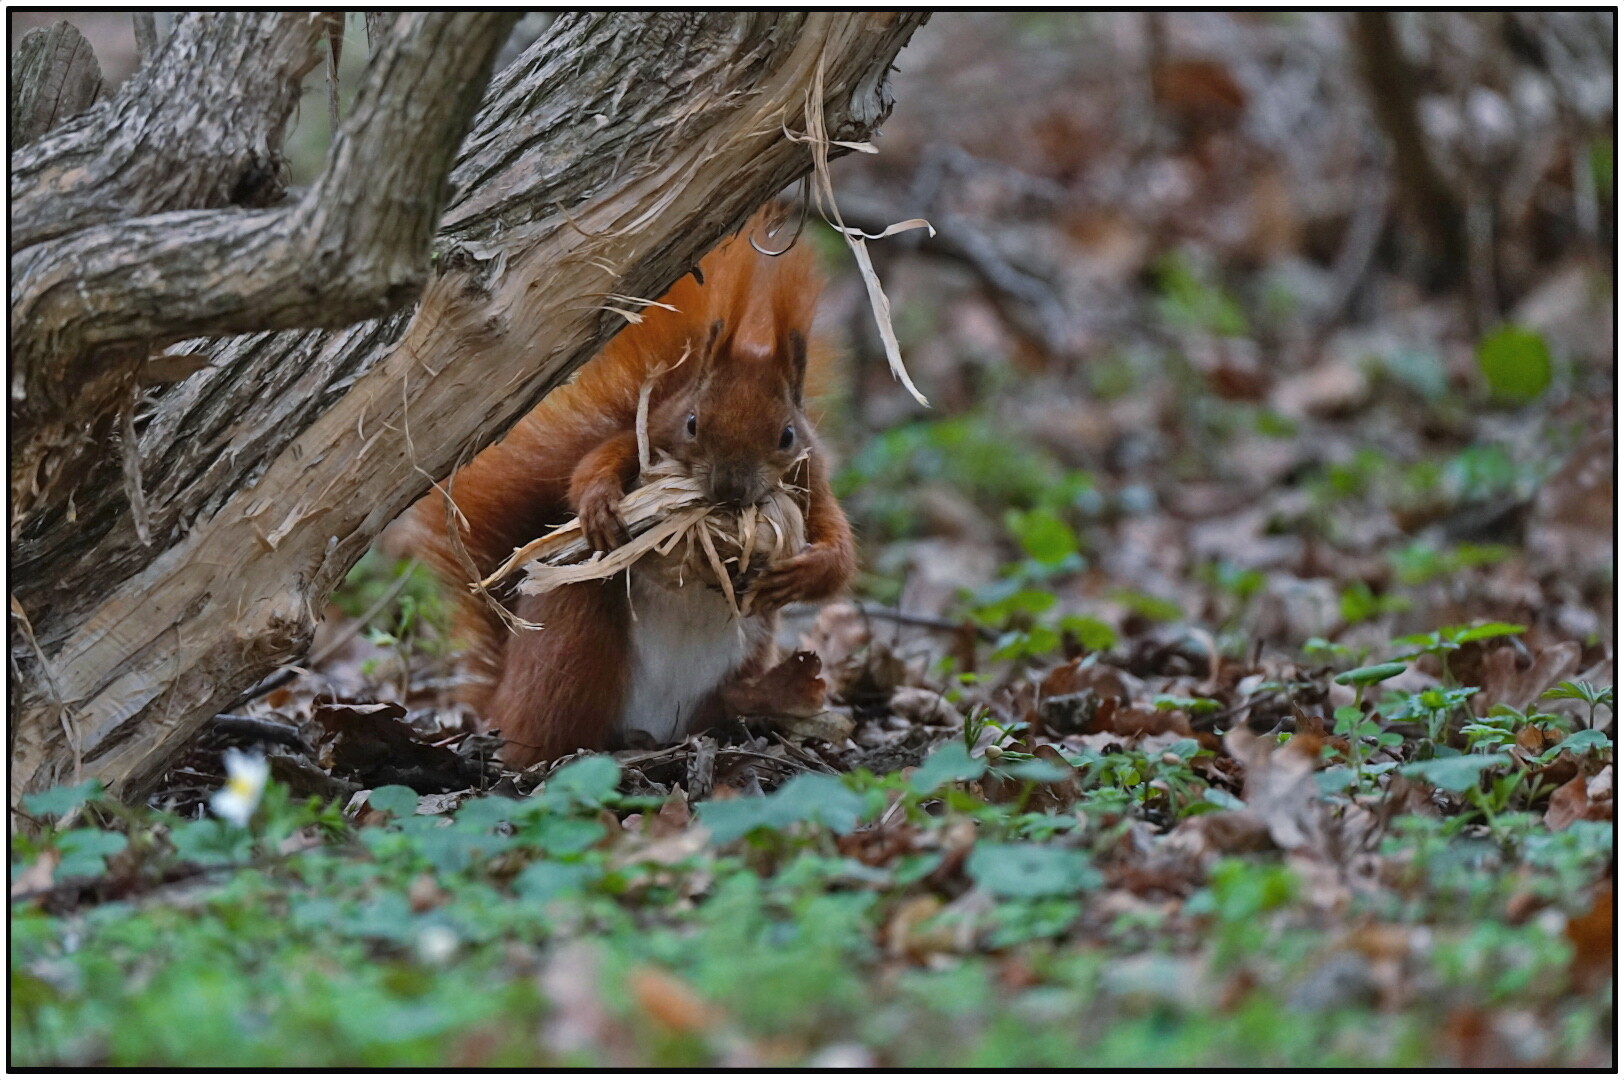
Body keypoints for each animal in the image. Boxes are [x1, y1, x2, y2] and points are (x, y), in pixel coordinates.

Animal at [404, 211, 856, 768]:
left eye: (787, 436)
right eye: (691, 423)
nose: (729, 488)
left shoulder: (815, 483)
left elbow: (840, 553)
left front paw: (799, 574)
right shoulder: (643, 434)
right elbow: (590, 465)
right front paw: (598, 504)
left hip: (742, 657)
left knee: (725, 701)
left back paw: (780, 688)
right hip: (575, 645)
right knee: (557, 725)